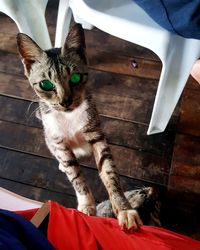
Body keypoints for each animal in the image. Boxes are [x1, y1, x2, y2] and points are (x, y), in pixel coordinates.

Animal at [16, 23, 142, 230]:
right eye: (46, 84)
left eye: (75, 78)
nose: (65, 101)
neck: (69, 118)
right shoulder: (59, 143)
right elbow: (76, 176)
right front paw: (86, 205)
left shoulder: (96, 135)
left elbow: (109, 171)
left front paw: (124, 208)